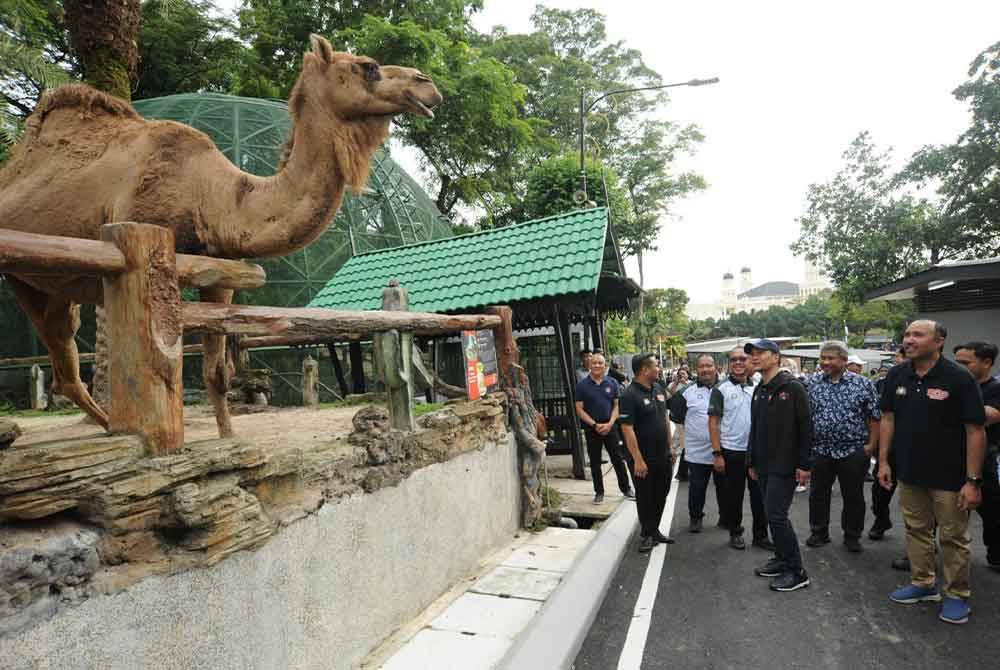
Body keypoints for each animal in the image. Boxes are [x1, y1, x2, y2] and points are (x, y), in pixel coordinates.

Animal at [0, 34, 442, 438]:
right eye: (368, 66)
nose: (427, 85)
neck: (216, 197)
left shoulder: (221, 275)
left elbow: (217, 372)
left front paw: (229, 439)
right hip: (23, 273)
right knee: (66, 368)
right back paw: (117, 432)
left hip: (57, 287)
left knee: (66, 365)